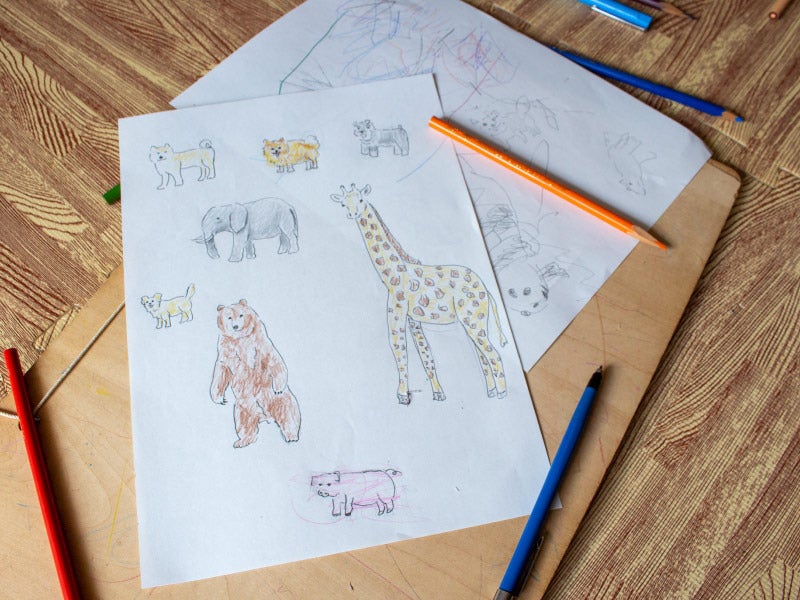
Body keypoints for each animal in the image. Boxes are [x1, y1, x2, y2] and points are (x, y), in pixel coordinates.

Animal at [330, 183, 508, 404]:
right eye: (343, 203)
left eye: (361, 199)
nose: (352, 213)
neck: (393, 274)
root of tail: (487, 289)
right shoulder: (414, 319)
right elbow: (426, 355)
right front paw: (438, 394)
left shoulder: (396, 313)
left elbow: (399, 351)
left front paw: (402, 396)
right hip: (473, 321)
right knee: (482, 355)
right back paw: (491, 391)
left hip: (473, 320)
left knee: (494, 355)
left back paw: (502, 393)